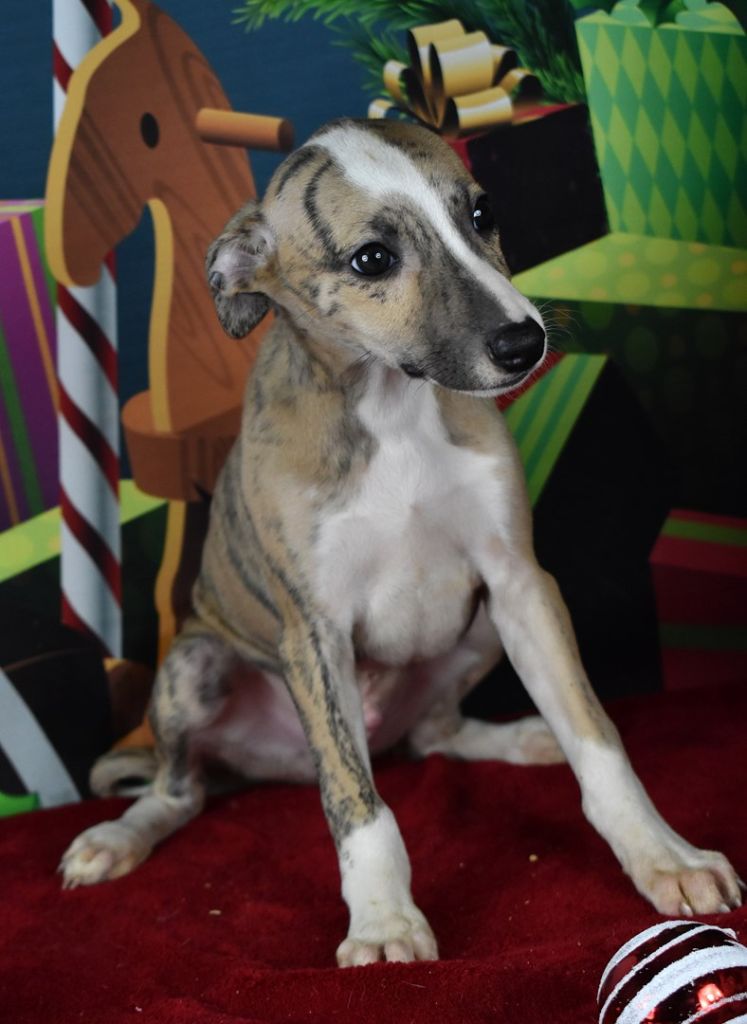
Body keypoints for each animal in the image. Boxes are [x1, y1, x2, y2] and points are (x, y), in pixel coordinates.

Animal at [60, 118, 742, 965]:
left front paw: (662, 856)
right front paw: (383, 921)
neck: (391, 407)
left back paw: (522, 738)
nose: (523, 343)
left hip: (480, 630)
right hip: (194, 665)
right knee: (177, 790)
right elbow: (357, 805)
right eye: (371, 259)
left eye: (481, 214)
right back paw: (119, 837)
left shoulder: (520, 581)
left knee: (434, 736)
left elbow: (597, 737)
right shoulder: (313, 634)